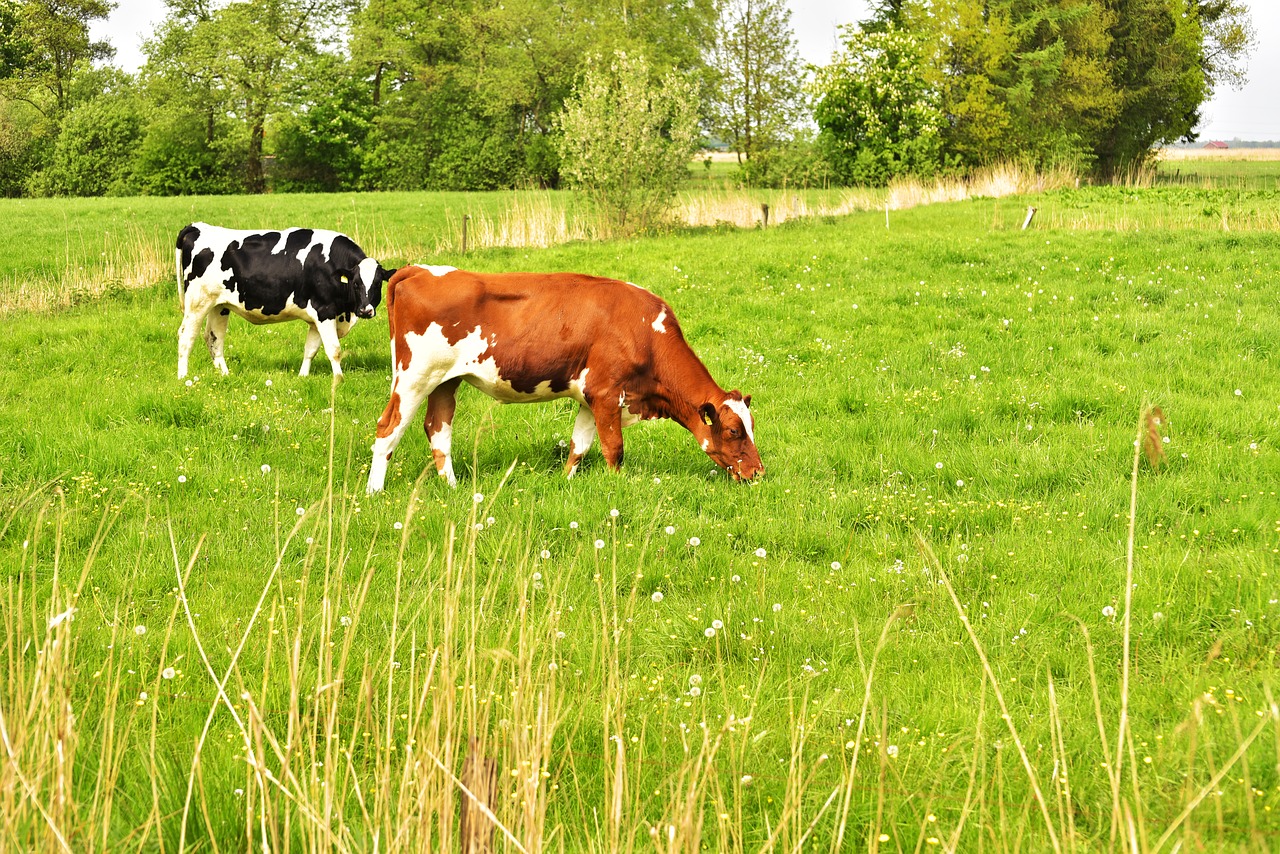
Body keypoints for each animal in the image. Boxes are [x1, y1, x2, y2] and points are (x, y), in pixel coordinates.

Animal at [175, 222, 391, 378]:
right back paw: (183, 377)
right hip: (197, 302)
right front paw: (339, 379)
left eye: (378, 284)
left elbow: (310, 349)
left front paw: (303, 376)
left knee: (214, 337)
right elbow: (334, 349)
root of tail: (197, 226)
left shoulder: (317, 317)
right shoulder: (325, 310)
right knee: (186, 336)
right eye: (356, 283)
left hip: (219, 305)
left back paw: (225, 374)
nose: (365, 310)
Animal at [363, 267, 757, 494]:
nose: (757, 472)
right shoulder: (607, 393)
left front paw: (565, 483)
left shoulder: (588, 397)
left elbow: (579, 446)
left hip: (446, 380)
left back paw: (453, 488)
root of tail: (419, 270)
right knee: (388, 427)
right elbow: (614, 449)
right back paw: (374, 491)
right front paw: (616, 489)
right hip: (414, 376)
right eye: (733, 430)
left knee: (438, 429)